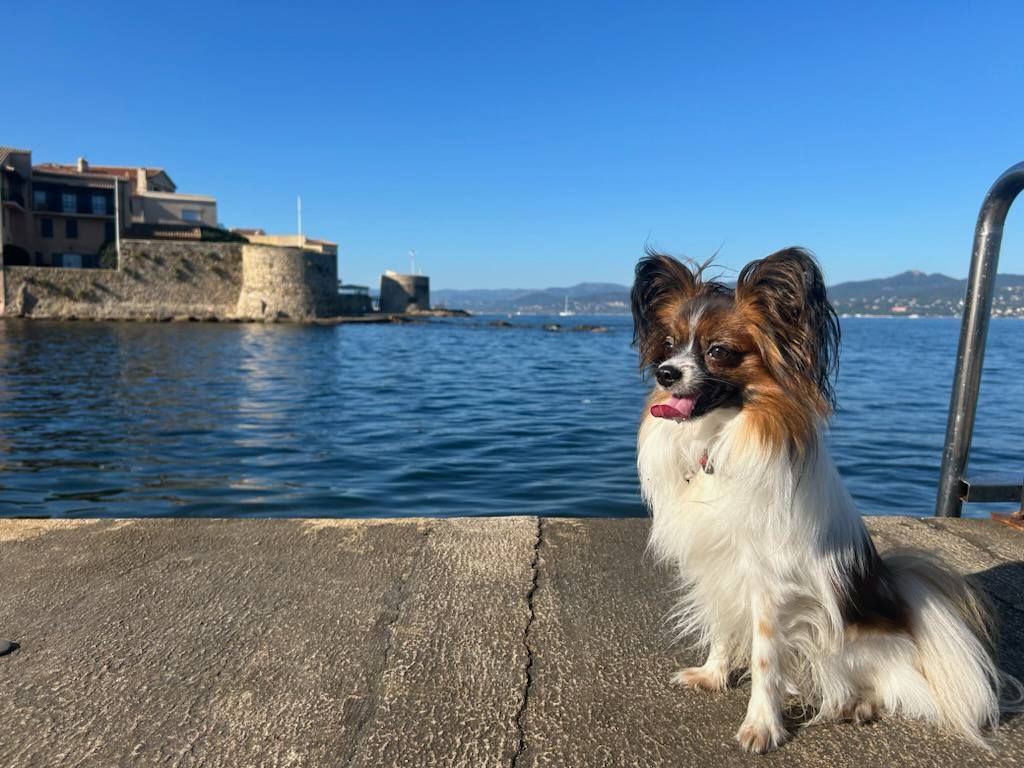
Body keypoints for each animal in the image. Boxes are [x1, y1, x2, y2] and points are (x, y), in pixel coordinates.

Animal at [630, 249, 1015, 753]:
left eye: (718, 351)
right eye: (669, 345)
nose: (665, 373)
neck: (721, 439)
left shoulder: (769, 585)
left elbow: (765, 660)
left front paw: (762, 725)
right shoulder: (716, 568)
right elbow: (720, 627)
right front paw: (713, 676)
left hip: (847, 647)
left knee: (894, 686)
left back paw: (857, 704)